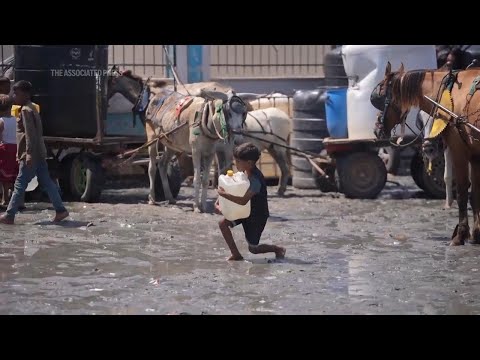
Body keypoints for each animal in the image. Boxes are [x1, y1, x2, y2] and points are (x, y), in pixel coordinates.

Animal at [374, 63, 480, 246]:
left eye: (380, 96)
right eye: (419, 121)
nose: (376, 129)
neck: (451, 92)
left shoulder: (459, 149)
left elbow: (462, 192)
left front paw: (460, 235)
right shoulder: (474, 155)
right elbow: (475, 195)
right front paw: (476, 234)